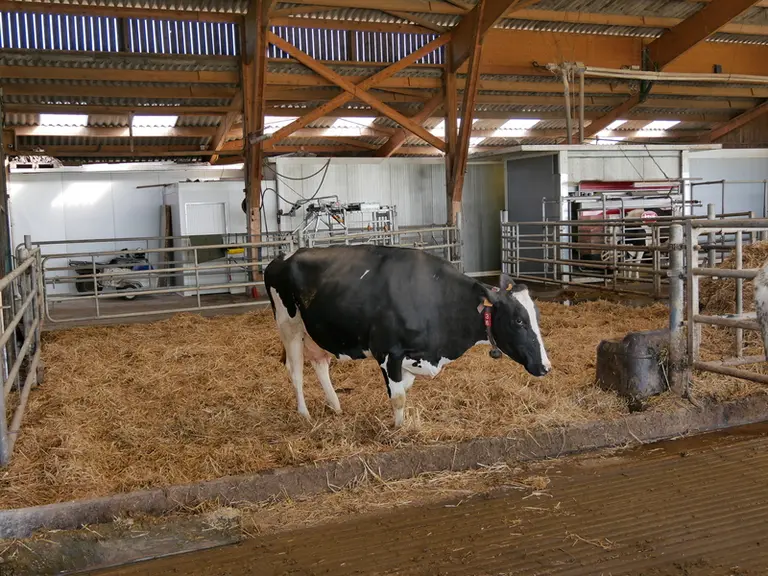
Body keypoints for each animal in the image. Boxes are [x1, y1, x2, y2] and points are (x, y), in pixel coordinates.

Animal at [264, 244, 551, 427]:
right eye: (518, 320)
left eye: (536, 316)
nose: (546, 367)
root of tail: (281, 257)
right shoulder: (387, 352)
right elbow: (398, 397)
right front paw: (399, 430)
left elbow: (403, 389)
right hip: (289, 326)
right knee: (295, 371)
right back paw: (304, 415)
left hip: (316, 331)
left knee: (321, 364)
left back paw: (336, 407)